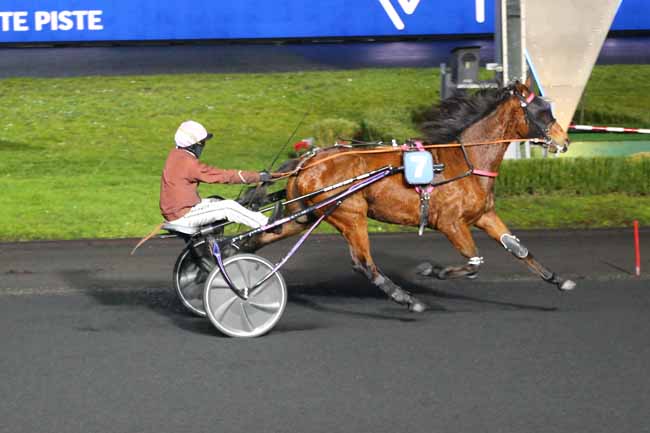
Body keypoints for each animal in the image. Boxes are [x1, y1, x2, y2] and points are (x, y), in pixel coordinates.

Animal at [242, 81, 572, 310]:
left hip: (305, 214)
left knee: (258, 239)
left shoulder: (483, 216)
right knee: (363, 263)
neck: (466, 161)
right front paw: (433, 270)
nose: (565, 140)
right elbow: (474, 262)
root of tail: (308, 161)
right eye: (543, 112)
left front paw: (558, 279)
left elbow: (519, 250)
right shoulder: (450, 223)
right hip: (350, 214)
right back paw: (407, 299)